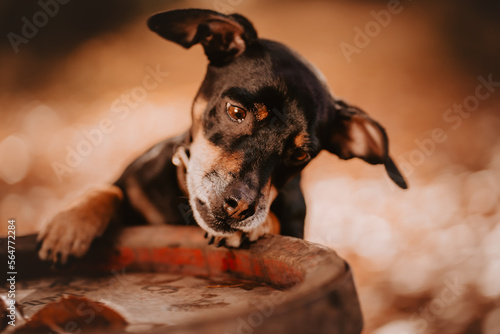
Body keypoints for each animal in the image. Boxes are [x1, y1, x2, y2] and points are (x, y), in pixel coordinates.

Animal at [37, 8, 408, 266]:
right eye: (235, 112)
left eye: (300, 155)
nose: (241, 206)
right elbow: (109, 189)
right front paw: (68, 225)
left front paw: (257, 225)